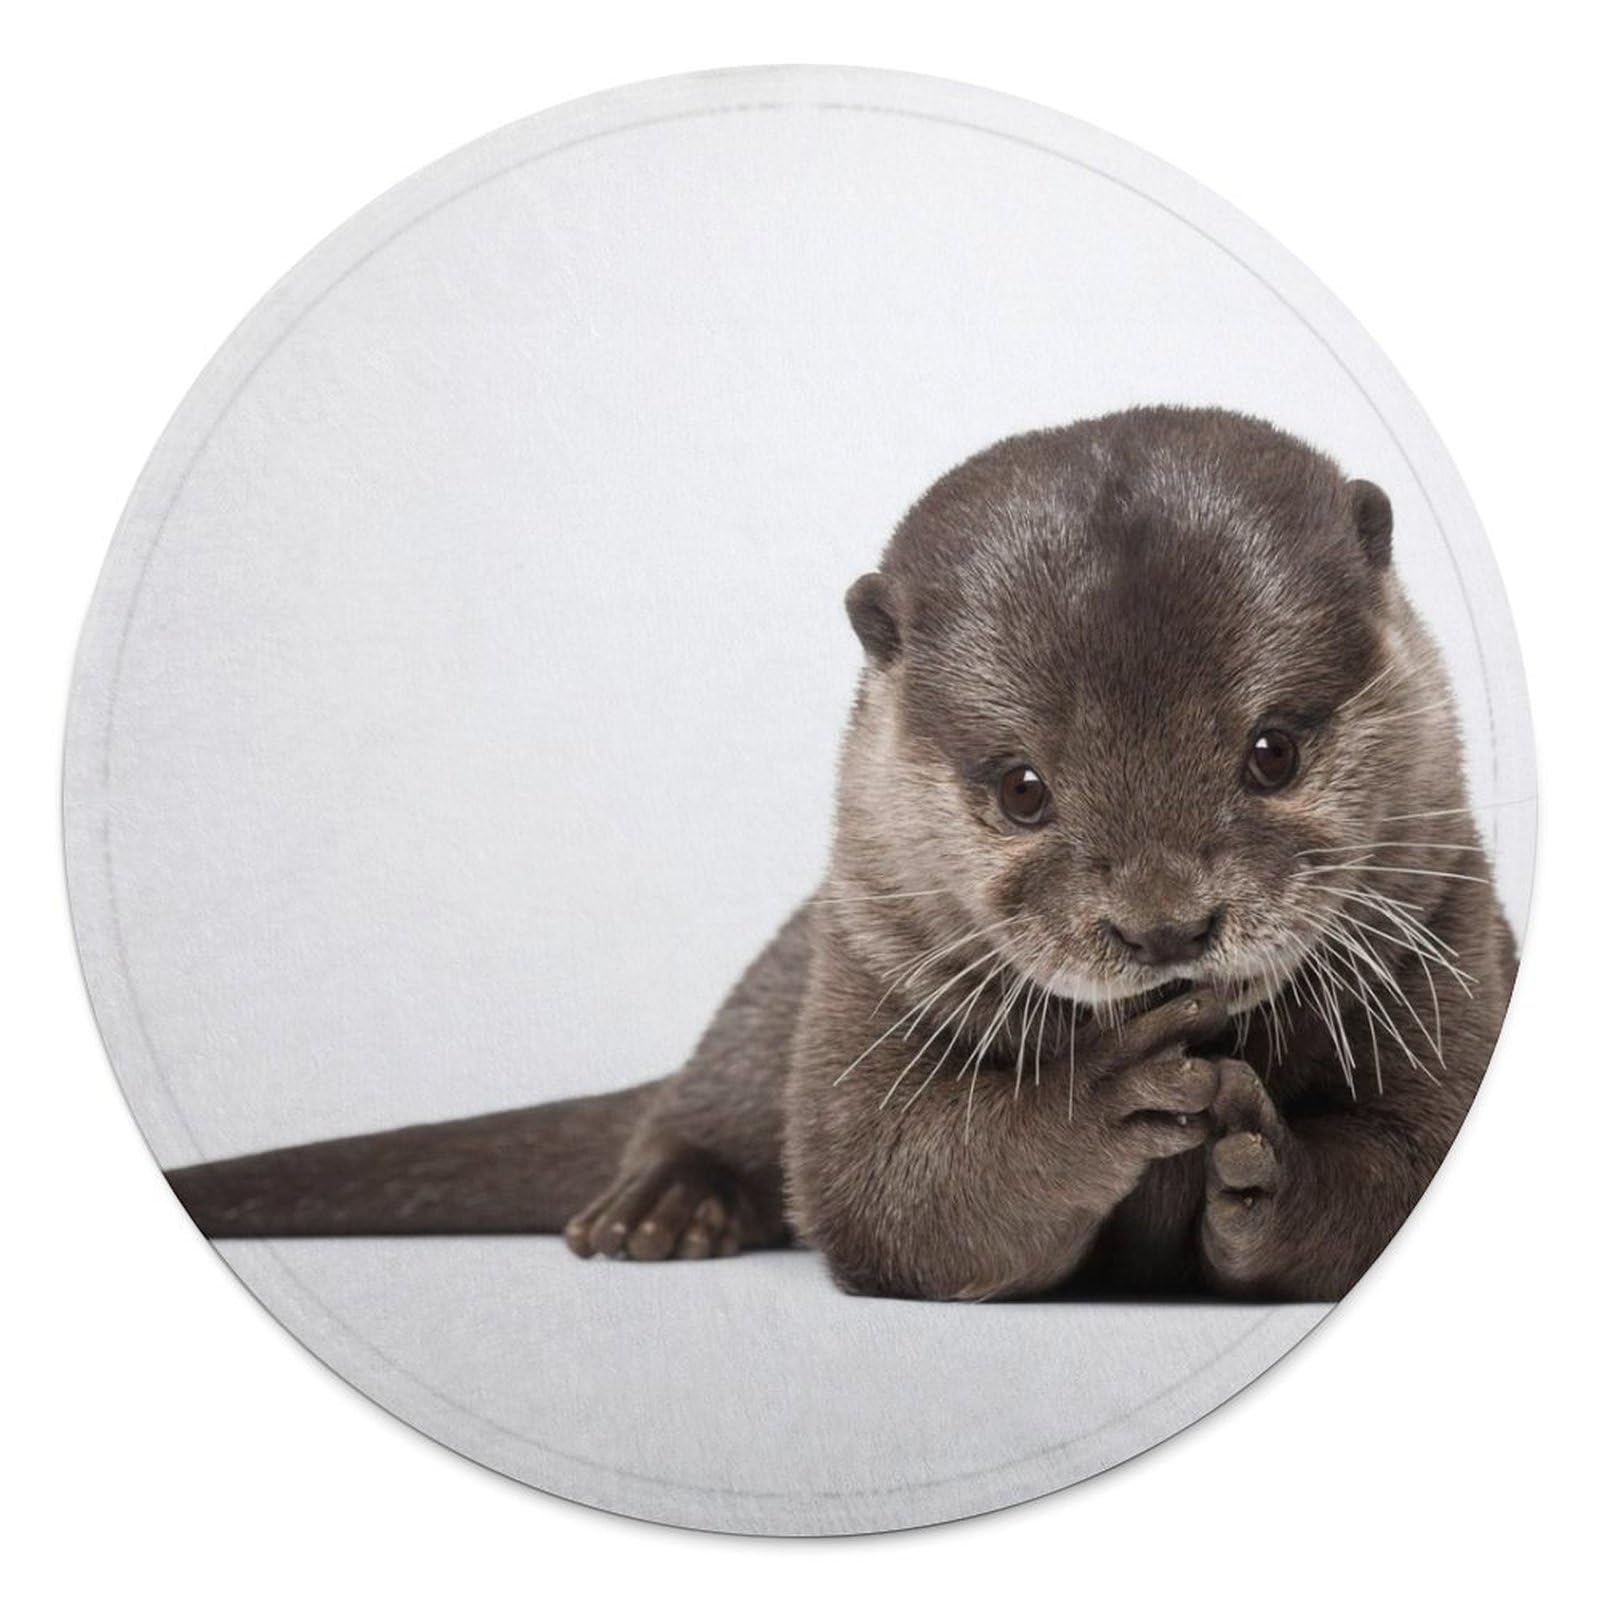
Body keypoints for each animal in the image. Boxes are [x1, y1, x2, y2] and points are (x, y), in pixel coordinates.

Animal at [166, 407, 1517, 1301]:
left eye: (1271, 750)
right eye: (1021, 786)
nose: (1163, 924)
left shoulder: (1452, 939)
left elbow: (1410, 1160)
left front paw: (1268, 1170)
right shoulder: (867, 962)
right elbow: (882, 1185)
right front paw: (1103, 1092)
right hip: (788, 970)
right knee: (694, 1098)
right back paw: (659, 1209)